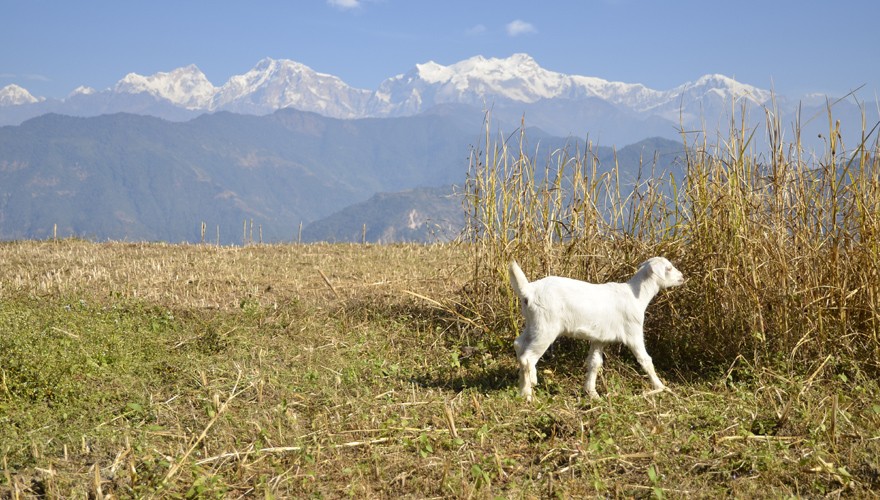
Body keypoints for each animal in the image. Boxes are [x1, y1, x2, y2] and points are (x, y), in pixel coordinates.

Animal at [506, 258, 684, 402]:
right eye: (668, 268)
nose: (682, 277)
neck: (636, 296)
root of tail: (528, 291)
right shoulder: (633, 333)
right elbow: (645, 360)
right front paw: (661, 387)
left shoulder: (600, 338)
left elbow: (594, 363)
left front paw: (592, 393)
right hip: (546, 327)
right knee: (528, 358)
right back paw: (528, 395)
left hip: (533, 323)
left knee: (519, 344)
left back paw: (525, 386)